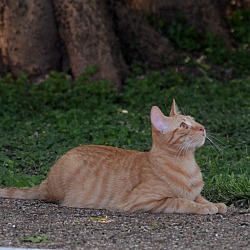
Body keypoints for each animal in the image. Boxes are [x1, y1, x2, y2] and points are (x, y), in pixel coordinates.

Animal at [0, 100, 227, 214]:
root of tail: (47, 180)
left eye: (194, 120)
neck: (188, 165)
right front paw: (204, 208)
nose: (202, 127)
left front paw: (214, 204)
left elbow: (199, 197)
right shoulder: (145, 201)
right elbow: (181, 201)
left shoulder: (195, 192)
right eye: (183, 126)